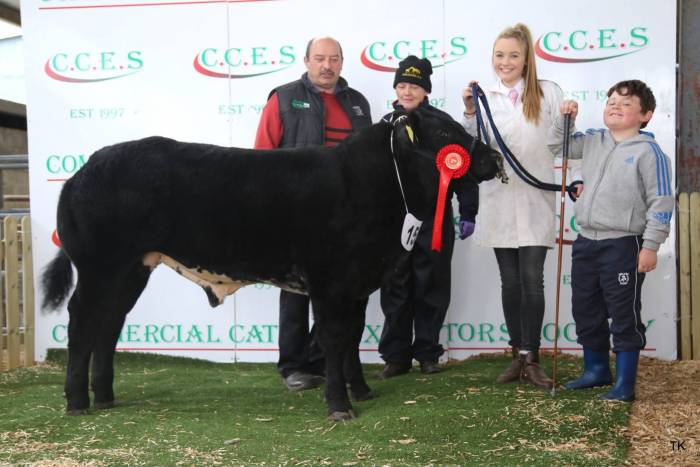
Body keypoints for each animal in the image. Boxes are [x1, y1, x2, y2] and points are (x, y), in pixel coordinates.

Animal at [41, 106, 501, 421]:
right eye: (443, 131)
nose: (494, 159)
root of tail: (89, 166)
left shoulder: (355, 284)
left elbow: (352, 339)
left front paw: (361, 390)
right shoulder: (331, 282)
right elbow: (335, 340)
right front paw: (339, 404)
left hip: (133, 268)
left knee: (109, 324)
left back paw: (105, 396)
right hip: (101, 267)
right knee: (83, 322)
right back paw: (77, 402)